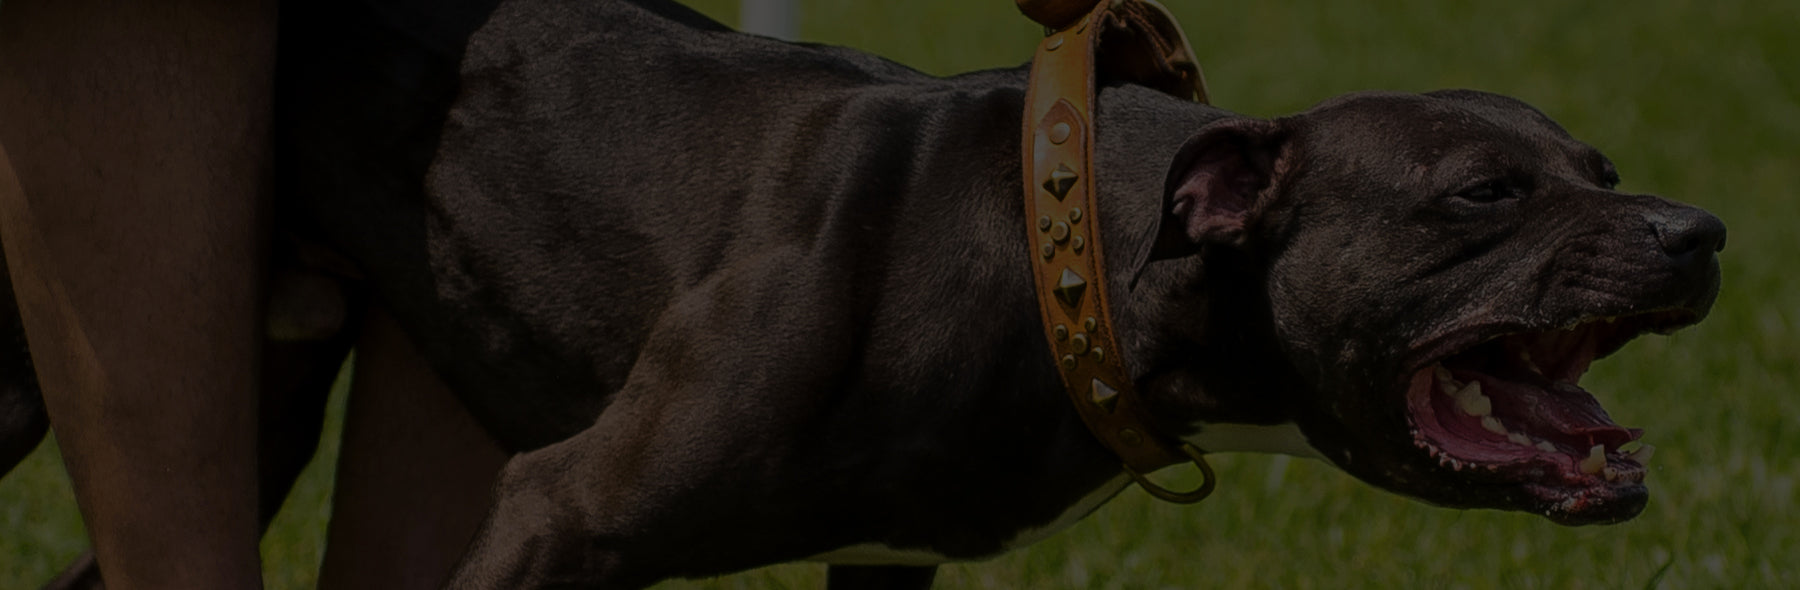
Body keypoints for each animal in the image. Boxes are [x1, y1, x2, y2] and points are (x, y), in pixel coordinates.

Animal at [0, 0, 1724, 587]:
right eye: (1482, 195)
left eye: (1598, 161)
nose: (1704, 228)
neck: (1068, 254)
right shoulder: (560, 513)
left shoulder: (893, 562)